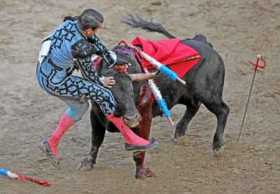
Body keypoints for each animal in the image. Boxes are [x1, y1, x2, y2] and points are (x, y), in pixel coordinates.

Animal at [79, 19, 230, 178]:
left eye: (133, 91)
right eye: (110, 94)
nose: (132, 118)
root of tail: (203, 42)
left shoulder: (145, 117)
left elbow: (140, 148)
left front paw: (141, 172)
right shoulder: (96, 114)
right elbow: (96, 140)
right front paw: (87, 163)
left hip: (208, 93)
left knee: (222, 110)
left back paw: (217, 146)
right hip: (189, 94)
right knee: (193, 106)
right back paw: (179, 134)